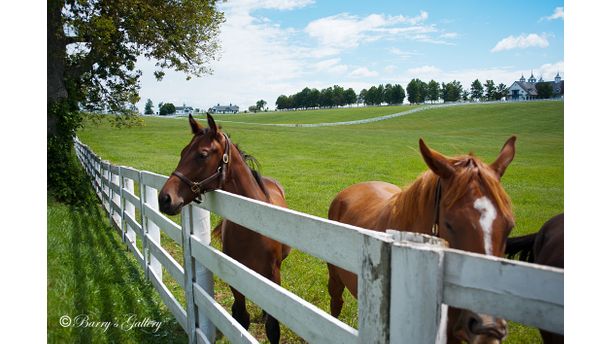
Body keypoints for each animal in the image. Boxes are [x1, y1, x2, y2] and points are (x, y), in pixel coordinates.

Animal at [158, 114, 292, 342]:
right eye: (183, 152)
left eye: (202, 155)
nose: (165, 198)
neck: (252, 229)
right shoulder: (235, 279)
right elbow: (241, 318)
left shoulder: (274, 276)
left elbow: (273, 328)